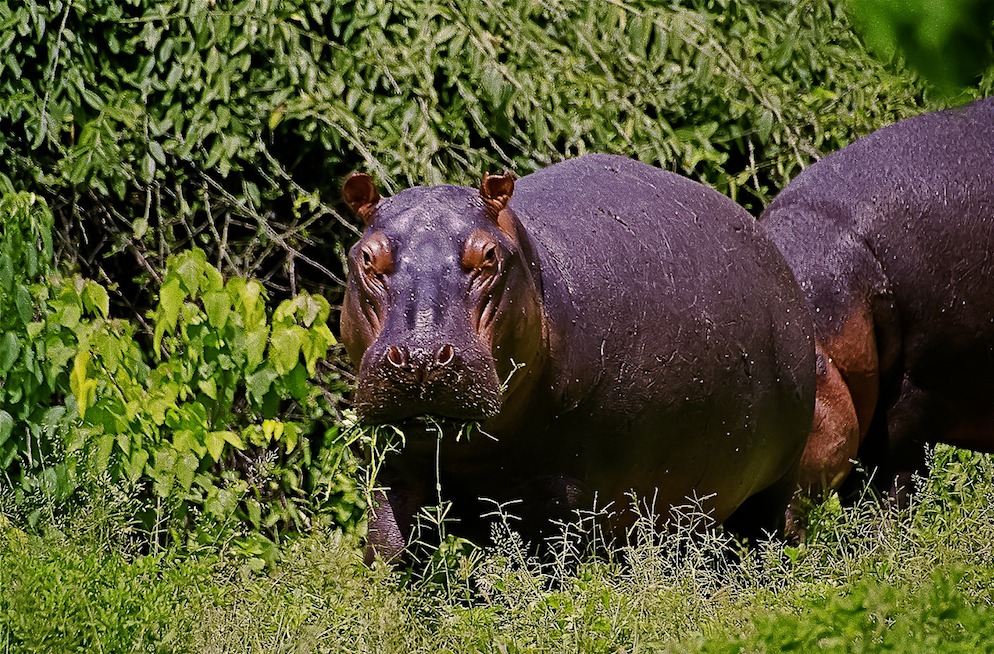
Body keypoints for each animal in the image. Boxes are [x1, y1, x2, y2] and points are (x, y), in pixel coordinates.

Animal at [342, 155, 812, 564]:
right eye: (366, 256)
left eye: (489, 256)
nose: (420, 354)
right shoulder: (397, 464)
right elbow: (387, 547)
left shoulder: (563, 486)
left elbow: (551, 568)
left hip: (778, 480)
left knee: (770, 532)